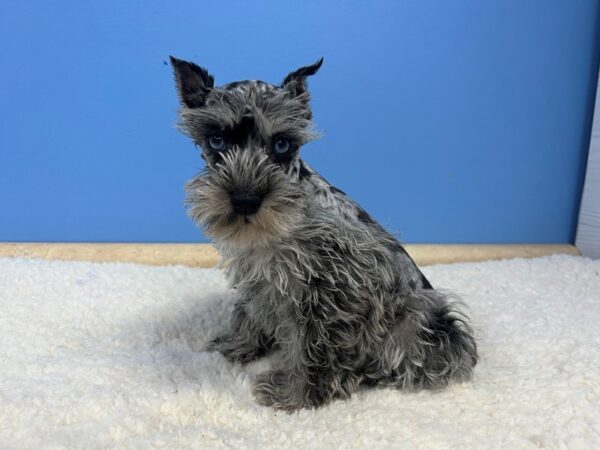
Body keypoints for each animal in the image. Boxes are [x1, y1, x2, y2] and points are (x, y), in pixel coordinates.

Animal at [169, 56, 478, 412]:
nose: (245, 200)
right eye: (216, 140)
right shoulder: (258, 278)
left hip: (416, 321)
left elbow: (313, 346)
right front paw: (237, 346)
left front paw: (295, 395)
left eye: (282, 144)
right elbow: (247, 313)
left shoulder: (327, 291)